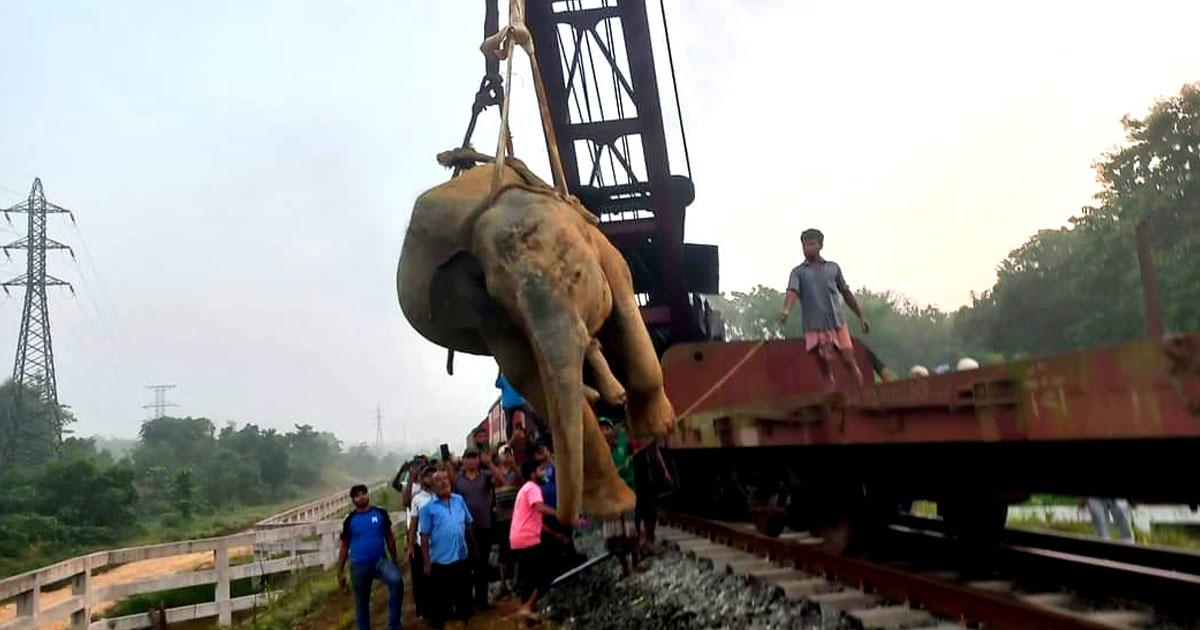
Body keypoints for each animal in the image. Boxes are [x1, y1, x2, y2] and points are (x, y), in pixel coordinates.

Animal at [398, 151, 681, 525]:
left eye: (576, 275)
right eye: (507, 300)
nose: (559, 515)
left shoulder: (601, 246)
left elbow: (623, 288)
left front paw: (657, 429)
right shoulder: (481, 310)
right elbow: (525, 372)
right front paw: (615, 507)